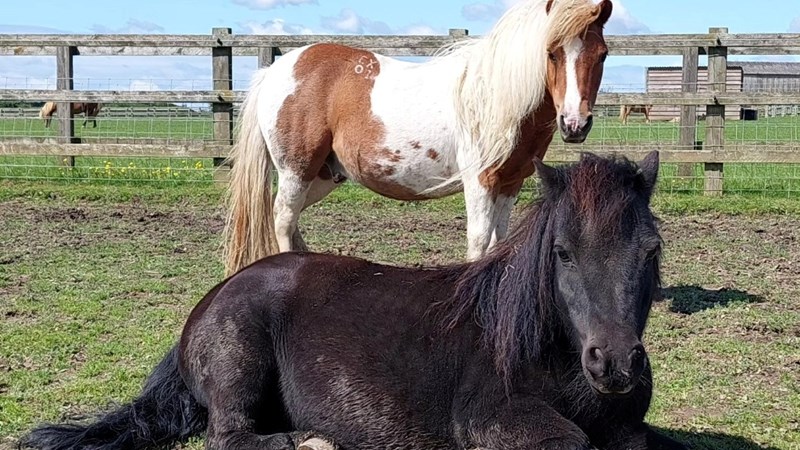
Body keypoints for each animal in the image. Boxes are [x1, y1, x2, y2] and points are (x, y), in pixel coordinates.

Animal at [21, 150, 689, 450]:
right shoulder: (492, 418)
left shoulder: (630, 429)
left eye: (651, 249)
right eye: (563, 254)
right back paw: (311, 442)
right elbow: (573, 441)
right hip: (240, 363)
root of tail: (209, 302)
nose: (616, 364)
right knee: (230, 435)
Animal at [223, 0, 613, 275]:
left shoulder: (510, 182)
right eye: (552, 53)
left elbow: (500, 242)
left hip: (322, 176)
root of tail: (275, 70)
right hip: (296, 170)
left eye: (602, 55)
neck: (494, 96)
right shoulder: (481, 181)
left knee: (290, 221)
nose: (575, 124)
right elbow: (479, 240)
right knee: (283, 219)